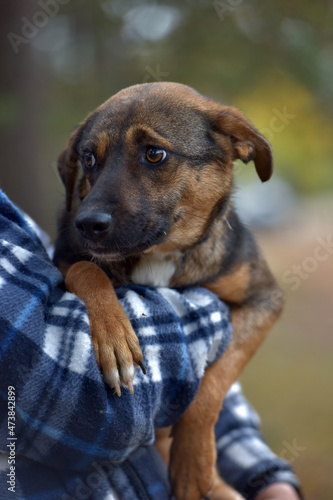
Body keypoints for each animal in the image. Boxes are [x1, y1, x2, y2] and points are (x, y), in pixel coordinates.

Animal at [53, 83, 282, 500]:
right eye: (89, 158)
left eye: (154, 154)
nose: (86, 224)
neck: (160, 253)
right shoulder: (67, 257)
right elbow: (87, 270)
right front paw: (114, 338)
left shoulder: (265, 299)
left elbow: (217, 379)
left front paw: (193, 460)